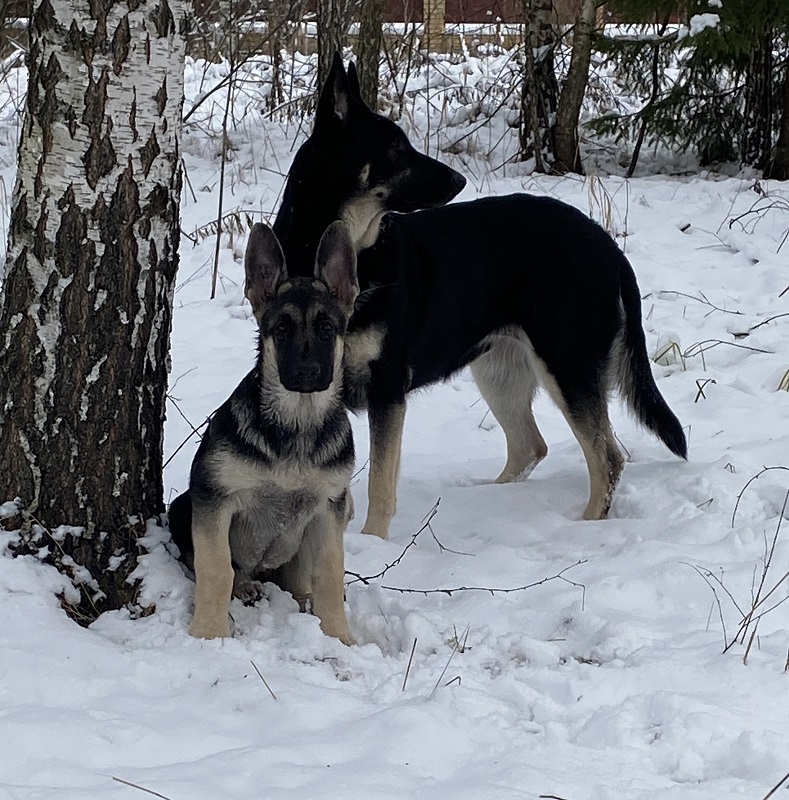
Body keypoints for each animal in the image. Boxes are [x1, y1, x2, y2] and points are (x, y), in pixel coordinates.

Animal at [175, 220, 358, 644]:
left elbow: (330, 571)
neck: (297, 424)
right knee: (233, 570)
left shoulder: (330, 507)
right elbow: (216, 568)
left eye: (327, 329)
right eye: (281, 328)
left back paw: (302, 599)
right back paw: (245, 587)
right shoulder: (213, 498)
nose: (307, 373)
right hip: (182, 508)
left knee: (298, 578)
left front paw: (338, 635)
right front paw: (208, 633)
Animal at [268, 53, 688, 536]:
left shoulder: (387, 389)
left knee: (607, 456)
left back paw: (585, 526)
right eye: (395, 150)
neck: (347, 248)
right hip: (499, 369)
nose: (459, 180)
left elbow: (379, 484)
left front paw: (374, 541)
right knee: (530, 446)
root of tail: (605, 243)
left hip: (567, 364)